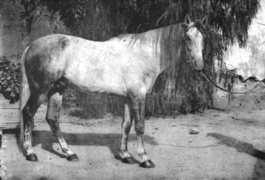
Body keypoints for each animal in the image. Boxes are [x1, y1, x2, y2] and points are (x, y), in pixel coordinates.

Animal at [20, 14, 206, 168]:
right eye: (188, 38)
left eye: (203, 39)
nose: (199, 65)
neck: (144, 54)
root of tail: (30, 46)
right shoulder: (138, 96)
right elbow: (140, 126)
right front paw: (144, 159)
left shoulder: (128, 98)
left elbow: (126, 125)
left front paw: (126, 156)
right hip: (40, 91)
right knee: (28, 113)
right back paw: (30, 153)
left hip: (57, 90)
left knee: (52, 119)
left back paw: (70, 153)